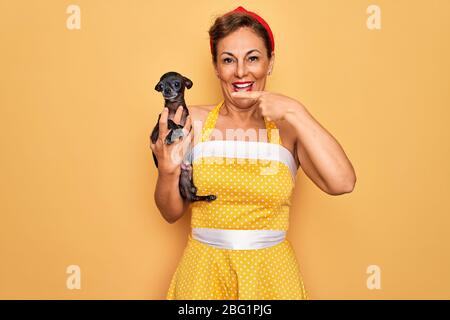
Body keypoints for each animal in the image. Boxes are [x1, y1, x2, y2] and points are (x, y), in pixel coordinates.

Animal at [151, 72, 218, 202]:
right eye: (161, 86)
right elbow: (170, 121)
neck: (174, 108)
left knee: (192, 196)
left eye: (177, 84)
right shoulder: (155, 134)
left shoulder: (189, 125)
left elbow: (182, 126)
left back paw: (208, 196)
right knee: (191, 197)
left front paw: (175, 131)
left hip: (187, 175)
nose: (166, 90)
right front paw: (172, 131)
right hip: (182, 179)